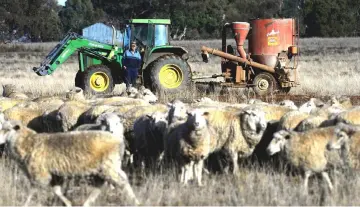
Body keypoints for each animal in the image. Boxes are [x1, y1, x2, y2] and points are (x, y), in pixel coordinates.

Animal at [0, 120, 140, 206]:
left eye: (7, 129)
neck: (28, 142)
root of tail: (119, 141)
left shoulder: (39, 174)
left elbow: (32, 191)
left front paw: (25, 203)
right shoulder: (53, 175)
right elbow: (57, 191)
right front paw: (68, 203)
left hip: (109, 166)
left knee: (121, 182)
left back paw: (135, 201)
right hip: (107, 167)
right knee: (102, 184)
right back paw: (87, 203)